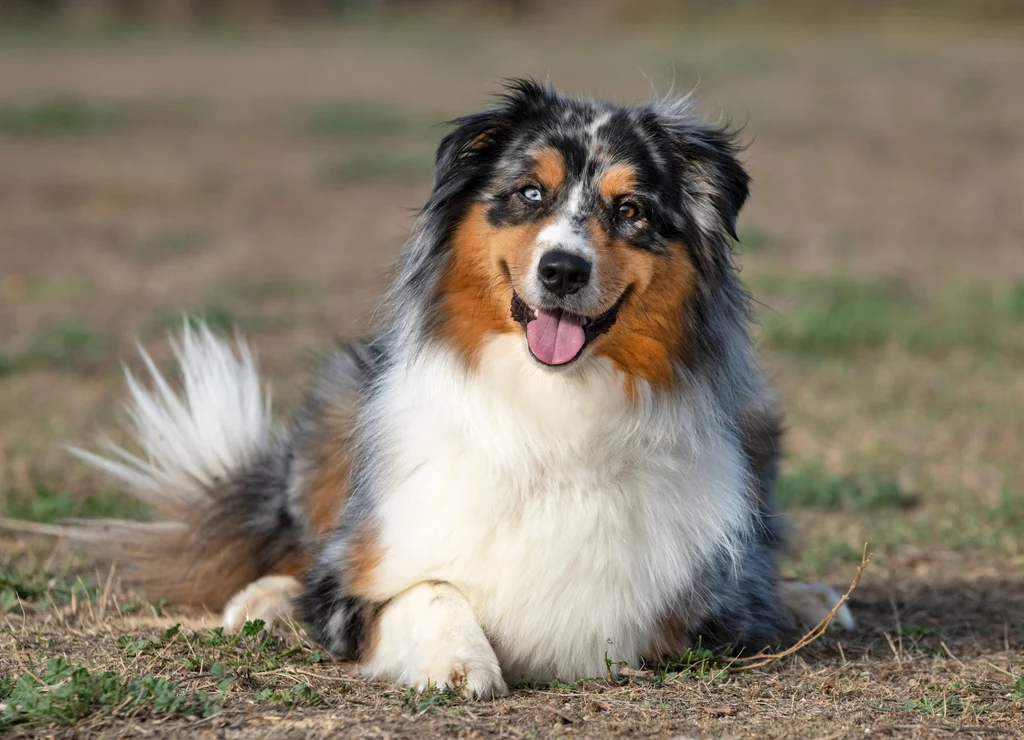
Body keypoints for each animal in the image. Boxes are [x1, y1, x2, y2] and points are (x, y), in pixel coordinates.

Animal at [72, 80, 851, 700]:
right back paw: (263, 600)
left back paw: (815, 597)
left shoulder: (705, 609)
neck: (551, 416)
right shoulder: (356, 585)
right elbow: (426, 587)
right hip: (339, 402)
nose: (562, 270)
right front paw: (456, 661)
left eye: (629, 210)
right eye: (529, 193)